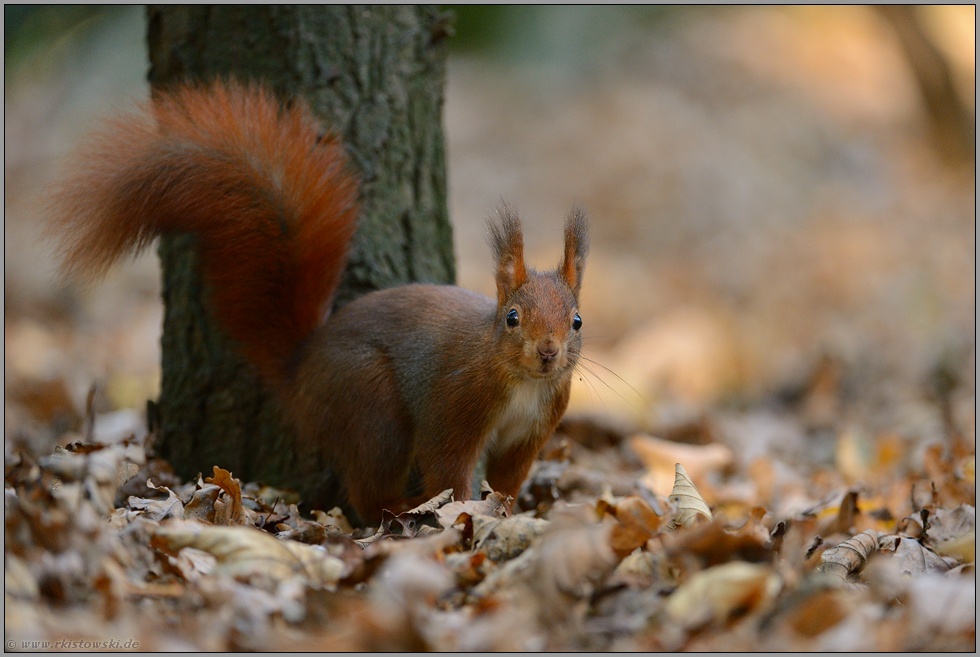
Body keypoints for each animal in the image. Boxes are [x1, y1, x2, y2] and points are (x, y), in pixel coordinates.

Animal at [49, 82, 584, 520]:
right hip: (372, 405)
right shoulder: (456, 404)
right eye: (512, 317)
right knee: (368, 488)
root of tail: (300, 367)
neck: (521, 381)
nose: (548, 351)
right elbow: (447, 468)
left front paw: (506, 511)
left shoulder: (531, 431)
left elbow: (507, 478)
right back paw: (399, 508)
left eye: (576, 321)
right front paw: (464, 512)